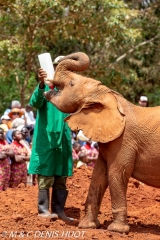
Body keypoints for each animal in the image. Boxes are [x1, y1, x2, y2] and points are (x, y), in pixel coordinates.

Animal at [43, 51, 160, 233]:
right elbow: (98, 175)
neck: (109, 96)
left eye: (71, 83)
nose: (57, 58)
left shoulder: (125, 140)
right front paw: (87, 226)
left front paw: (117, 230)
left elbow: (116, 173)